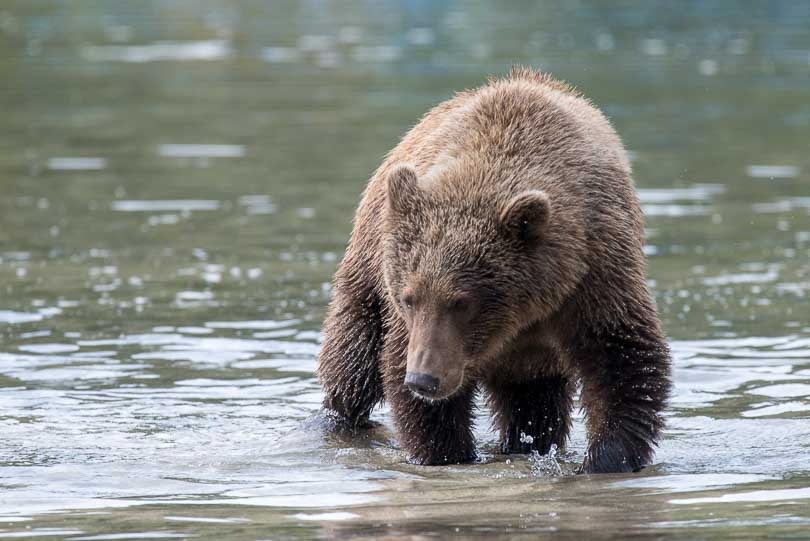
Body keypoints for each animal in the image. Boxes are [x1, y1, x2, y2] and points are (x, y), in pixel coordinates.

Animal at [316, 66, 668, 472]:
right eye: (408, 299)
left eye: (462, 301)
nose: (423, 379)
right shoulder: (412, 323)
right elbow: (409, 382)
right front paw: (446, 451)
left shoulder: (595, 270)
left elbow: (622, 358)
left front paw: (605, 458)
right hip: (369, 269)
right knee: (353, 359)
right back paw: (339, 416)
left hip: (530, 361)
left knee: (534, 403)